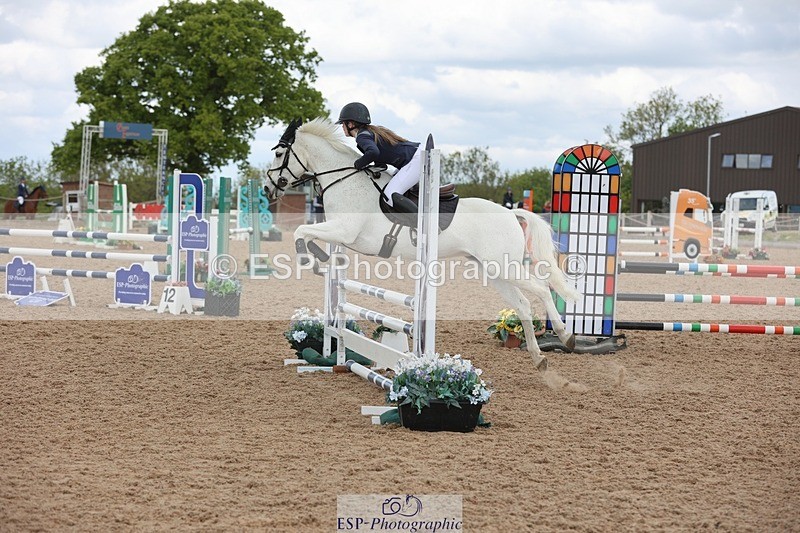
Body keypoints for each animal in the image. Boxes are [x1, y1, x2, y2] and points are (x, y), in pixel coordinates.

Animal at [264, 118, 580, 370]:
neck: (344, 181)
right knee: (524, 305)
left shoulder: (343, 231)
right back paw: (539, 358)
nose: (267, 188)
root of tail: (511, 213)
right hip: (493, 270)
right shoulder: (338, 234)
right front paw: (319, 258)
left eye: (279, 153)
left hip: (503, 265)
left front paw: (310, 258)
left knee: (542, 288)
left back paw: (565, 335)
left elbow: (301, 232)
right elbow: (307, 234)